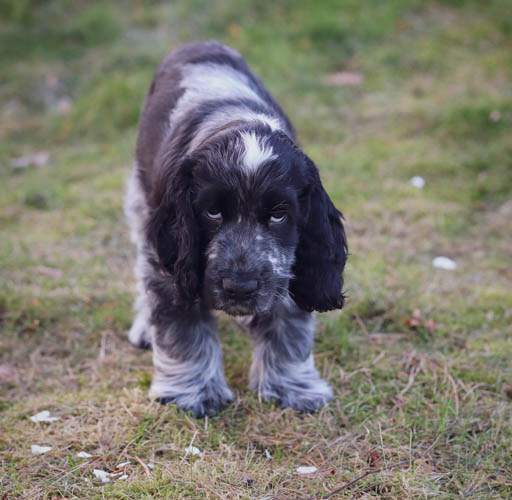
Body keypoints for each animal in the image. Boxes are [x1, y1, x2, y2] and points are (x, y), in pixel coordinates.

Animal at [125, 41, 348, 418]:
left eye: (278, 215)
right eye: (212, 211)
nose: (240, 288)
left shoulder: (288, 265)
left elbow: (289, 328)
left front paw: (292, 388)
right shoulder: (173, 259)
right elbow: (182, 328)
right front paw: (194, 393)